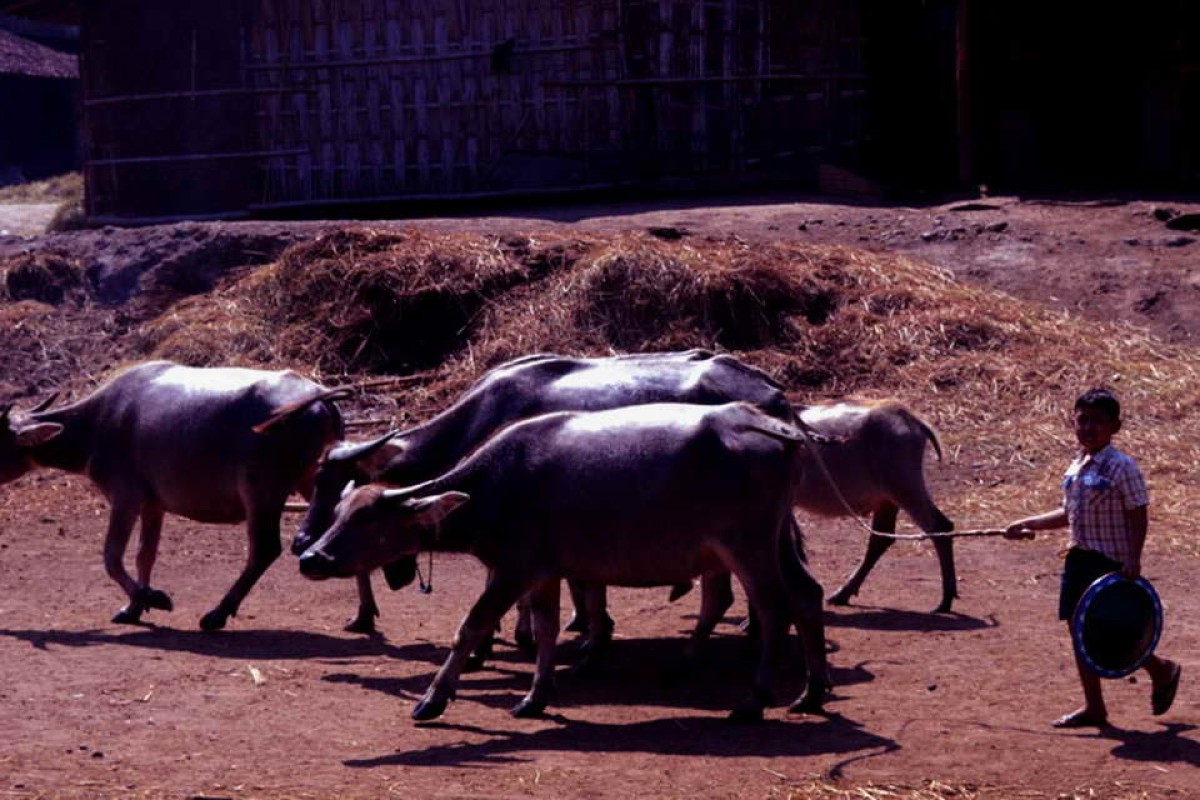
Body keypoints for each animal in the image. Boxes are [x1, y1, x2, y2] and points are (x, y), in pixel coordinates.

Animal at [1, 359, 348, 628]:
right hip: (311, 477)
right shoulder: (153, 506)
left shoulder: (125, 499)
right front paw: (133, 608)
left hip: (262, 491)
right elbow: (145, 555)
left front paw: (153, 597)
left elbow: (112, 557)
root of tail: (318, 396)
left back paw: (217, 614)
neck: (98, 422)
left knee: (264, 549)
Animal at [295, 402, 830, 724]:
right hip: (774, 541)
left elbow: (470, 627)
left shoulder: (512, 570)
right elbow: (547, 628)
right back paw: (810, 691)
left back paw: (754, 699)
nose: (310, 557)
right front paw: (536, 696)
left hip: (749, 547)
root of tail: (769, 424)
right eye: (340, 513)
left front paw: (433, 699)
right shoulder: (546, 573)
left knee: (772, 607)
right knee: (806, 596)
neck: (495, 487)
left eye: (366, 520)